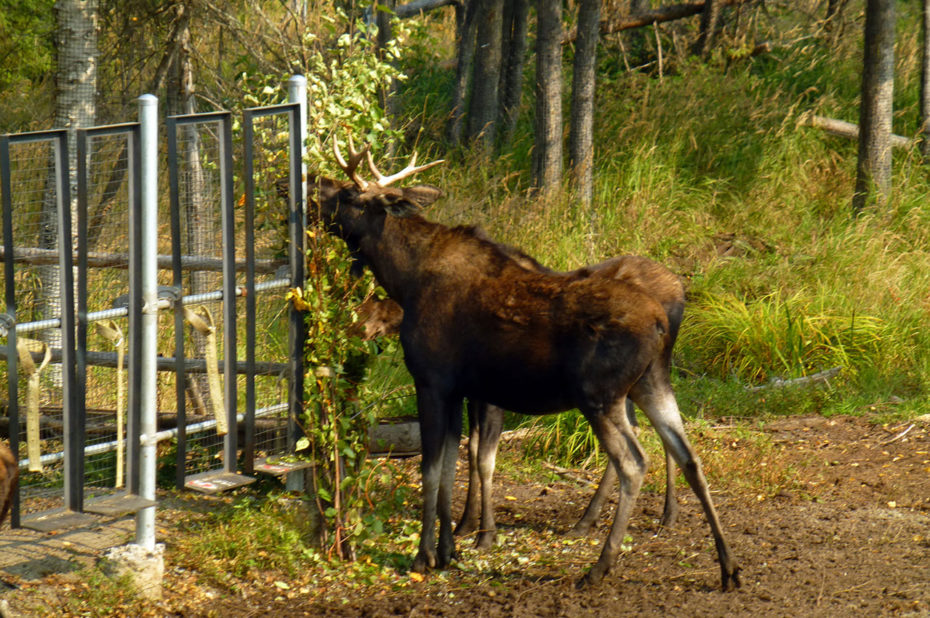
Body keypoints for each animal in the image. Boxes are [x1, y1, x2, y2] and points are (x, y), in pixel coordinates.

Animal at [310, 137, 740, 588]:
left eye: (348, 193)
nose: (311, 182)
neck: (404, 280)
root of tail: (661, 321)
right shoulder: (461, 390)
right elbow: (451, 467)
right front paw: (449, 550)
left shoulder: (431, 381)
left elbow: (432, 469)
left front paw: (425, 556)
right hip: (651, 383)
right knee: (689, 456)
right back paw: (727, 566)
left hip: (599, 395)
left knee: (633, 463)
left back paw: (599, 564)